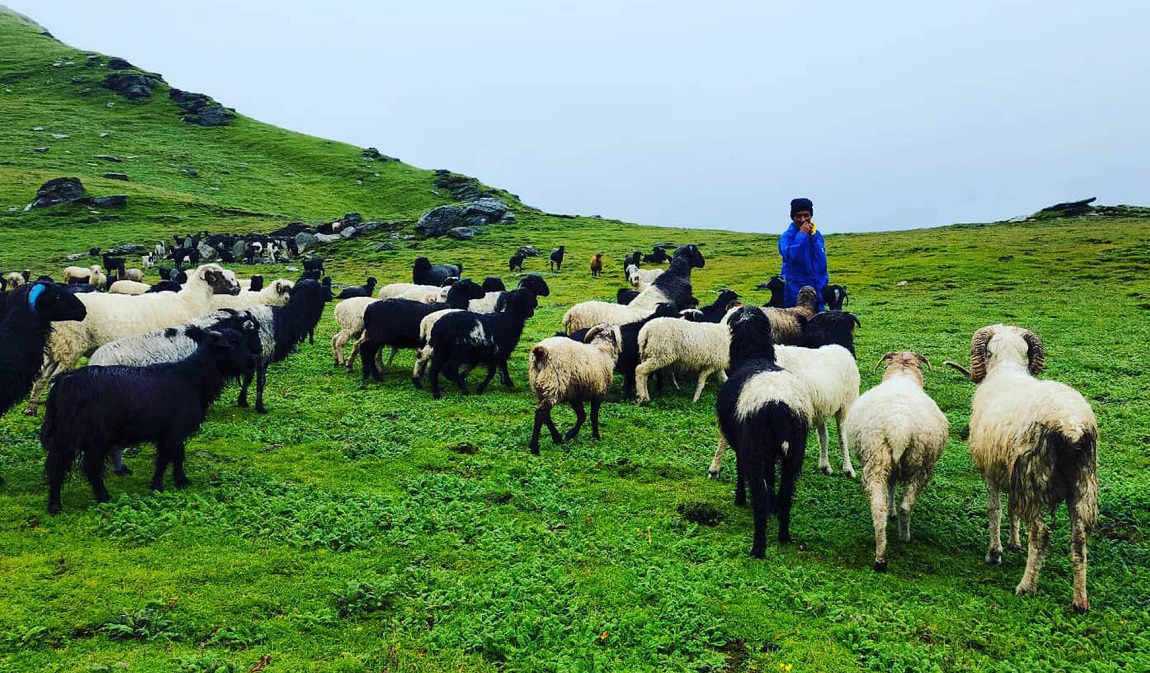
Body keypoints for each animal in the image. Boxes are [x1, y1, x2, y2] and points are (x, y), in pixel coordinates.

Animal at [22, 263, 240, 414]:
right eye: (219, 275)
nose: (237, 288)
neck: (189, 302)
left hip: (55, 348)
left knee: (40, 377)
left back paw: (31, 409)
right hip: (70, 346)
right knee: (53, 380)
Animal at [41, 322, 258, 510]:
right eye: (235, 343)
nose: (254, 361)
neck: (193, 378)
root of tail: (63, 382)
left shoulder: (175, 431)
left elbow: (178, 456)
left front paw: (181, 481)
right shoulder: (172, 431)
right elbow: (164, 459)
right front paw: (158, 486)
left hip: (64, 437)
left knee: (56, 467)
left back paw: (54, 505)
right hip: (93, 436)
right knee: (90, 468)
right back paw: (102, 497)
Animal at [717, 303, 818, 556]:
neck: (754, 357)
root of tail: (778, 404)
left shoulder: (742, 446)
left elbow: (741, 471)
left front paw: (739, 499)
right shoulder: (772, 454)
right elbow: (770, 477)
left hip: (754, 447)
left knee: (759, 499)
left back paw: (758, 549)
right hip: (795, 453)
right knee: (786, 496)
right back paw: (783, 536)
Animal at [841, 349, 947, 570]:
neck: (903, 374)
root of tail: (900, 428)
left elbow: (890, 488)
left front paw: (891, 513)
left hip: (881, 458)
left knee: (884, 507)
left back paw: (883, 555)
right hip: (917, 465)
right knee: (901, 506)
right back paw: (897, 543)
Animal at [947, 322, 1099, 612]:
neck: (1006, 369)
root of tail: (1071, 425)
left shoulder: (992, 471)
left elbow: (994, 510)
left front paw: (995, 552)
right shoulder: (1010, 473)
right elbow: (1012, 509)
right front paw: (1014, 542)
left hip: (1034, 478)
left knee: (1040, 534)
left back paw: (1026, 586)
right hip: (1081, 483)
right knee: (1079, 539)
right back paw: (1080, 600)